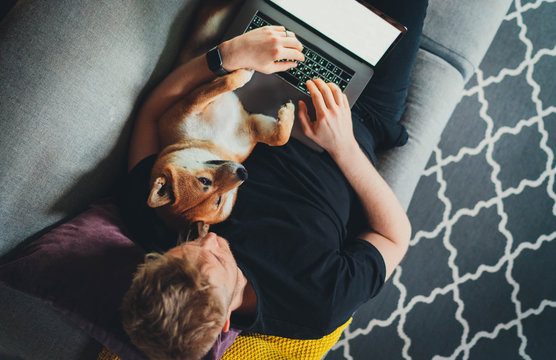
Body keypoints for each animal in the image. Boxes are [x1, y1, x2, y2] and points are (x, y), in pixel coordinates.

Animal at [147, 69, 296, 235]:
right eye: (218, 199)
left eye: (204, 180)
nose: (243, 173)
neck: (214, 143)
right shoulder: (192, 103)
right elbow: (227, 82)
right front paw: (245, 73)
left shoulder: (252, 128)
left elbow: (280, 139)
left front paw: (288, 114)